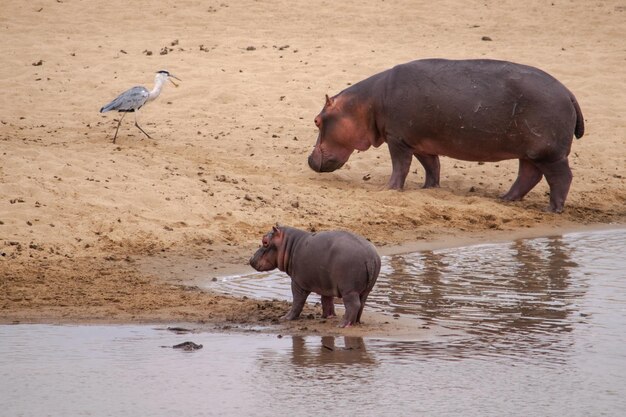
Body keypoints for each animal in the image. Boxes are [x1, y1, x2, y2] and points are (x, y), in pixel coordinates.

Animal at [249, 226, 380, 326]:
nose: (250, 259)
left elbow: (297, 301)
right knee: (361, 304)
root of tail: (370, 257)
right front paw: (327, 317)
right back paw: (356, 322)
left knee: (353, 305)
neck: (289, 244)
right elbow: (326, 301)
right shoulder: (326, 284)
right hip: (365, 290)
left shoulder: (297, 282)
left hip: (349, 290)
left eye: (265, 242)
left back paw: (343, 324)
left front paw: (285, 318)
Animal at [306, 58, 580, 211]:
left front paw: (389, 189)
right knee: (528, 175)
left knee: (561, 178)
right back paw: (505, 199)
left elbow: (400, 166)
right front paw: (429, 188)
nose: (309, 160)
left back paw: (551, 209)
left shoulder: (397, 140)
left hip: (549, 154)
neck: (366, 103)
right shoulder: (420, 143)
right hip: (530, 153)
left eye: (317, 120)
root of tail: (568, 92)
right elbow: (432, 165)